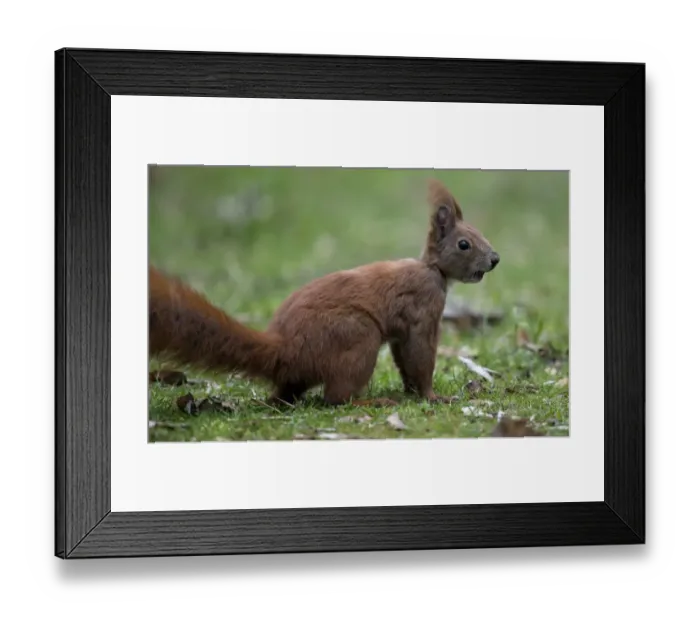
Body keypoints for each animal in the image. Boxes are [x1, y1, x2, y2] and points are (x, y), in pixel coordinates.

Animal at [149, 179, 500, 407]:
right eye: (464, 244)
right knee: (335, 398)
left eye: (480, 234)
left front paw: (416, 393)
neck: (433, 270)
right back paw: (371, 402)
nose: (495, 259)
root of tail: (285, 350)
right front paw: (432, 396)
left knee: (285, 394)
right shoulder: (422, 310)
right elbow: (419, 355)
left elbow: (405, 360)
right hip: (358, 336)